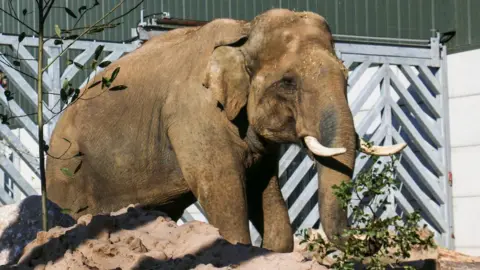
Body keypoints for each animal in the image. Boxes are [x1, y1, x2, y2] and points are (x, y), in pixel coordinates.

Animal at [46, 8, 404, 253]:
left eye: (347, 78)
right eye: (288, 82)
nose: (372, 240)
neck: (243, 33)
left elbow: (265, 191)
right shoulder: (195, 116)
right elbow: (224, 193)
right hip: (67, 174)